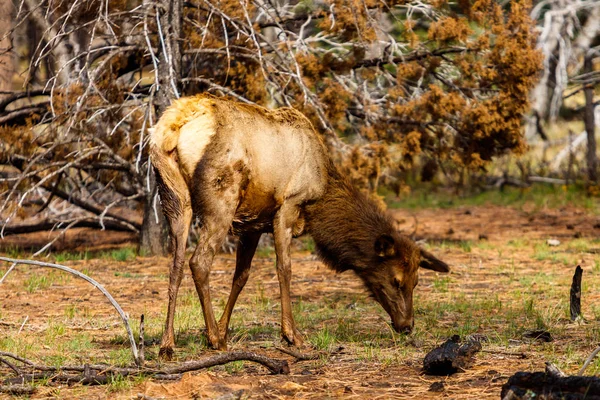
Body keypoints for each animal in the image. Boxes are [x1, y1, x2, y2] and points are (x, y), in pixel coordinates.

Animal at [150, 94, 450, 360]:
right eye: (397, 280)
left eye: (417, 280)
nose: (407, 325)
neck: (321, 198)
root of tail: (172, 128)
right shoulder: (288, 205)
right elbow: (284, 269)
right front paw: (291, 335)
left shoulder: (252, 224)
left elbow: (241, 276)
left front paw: (225, 329)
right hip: (221, 199)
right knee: (199, 262)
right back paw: (213, 339)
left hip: (174, 199)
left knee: (176, 264)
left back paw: (168, 344)